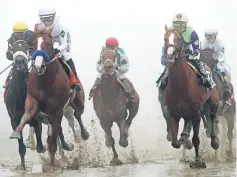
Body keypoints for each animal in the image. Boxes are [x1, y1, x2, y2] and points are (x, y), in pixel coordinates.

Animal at [5, 39, 45, 169]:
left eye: (26, 47)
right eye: (14, 48)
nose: (20, 62)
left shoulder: (36, 117)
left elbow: (40, 145)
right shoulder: (14, 120)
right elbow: (21, 146)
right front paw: (22, 166)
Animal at [9, 29, 89, 167]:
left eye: (47, 44)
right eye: (33, 44)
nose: (38, 66)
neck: (45, 81)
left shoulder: (57, 110)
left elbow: (53, 141)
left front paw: (52, 165)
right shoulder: (32, 101)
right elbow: (26, 116)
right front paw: (18, 132)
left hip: (77, 101)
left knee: (77, 114)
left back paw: (82, 135)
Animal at [164, 24, 219, 167]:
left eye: (179, 39)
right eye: (165, 39)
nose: (170, 55)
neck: (181, 85)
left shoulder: (196, 113)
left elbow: (196, 139)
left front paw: (198, 161)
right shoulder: (174, 113)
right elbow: (175, 142)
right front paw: (184, 141)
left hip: (213, 102)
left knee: (212, 117)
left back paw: (215, 141)